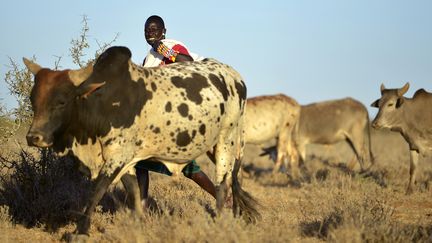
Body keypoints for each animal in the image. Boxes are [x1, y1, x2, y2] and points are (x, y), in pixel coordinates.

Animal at [24, 45, 260, 235]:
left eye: (61, 101)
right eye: (33, 99)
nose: (34, 137)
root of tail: (235, 75)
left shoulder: (117, 156)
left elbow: (97, 191)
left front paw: (79, 231)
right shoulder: (126, 160)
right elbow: (134, 192)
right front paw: (138, 223)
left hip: (227, 140)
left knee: (222, 183)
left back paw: (220, 220)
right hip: (213, 145)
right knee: (231, 179)